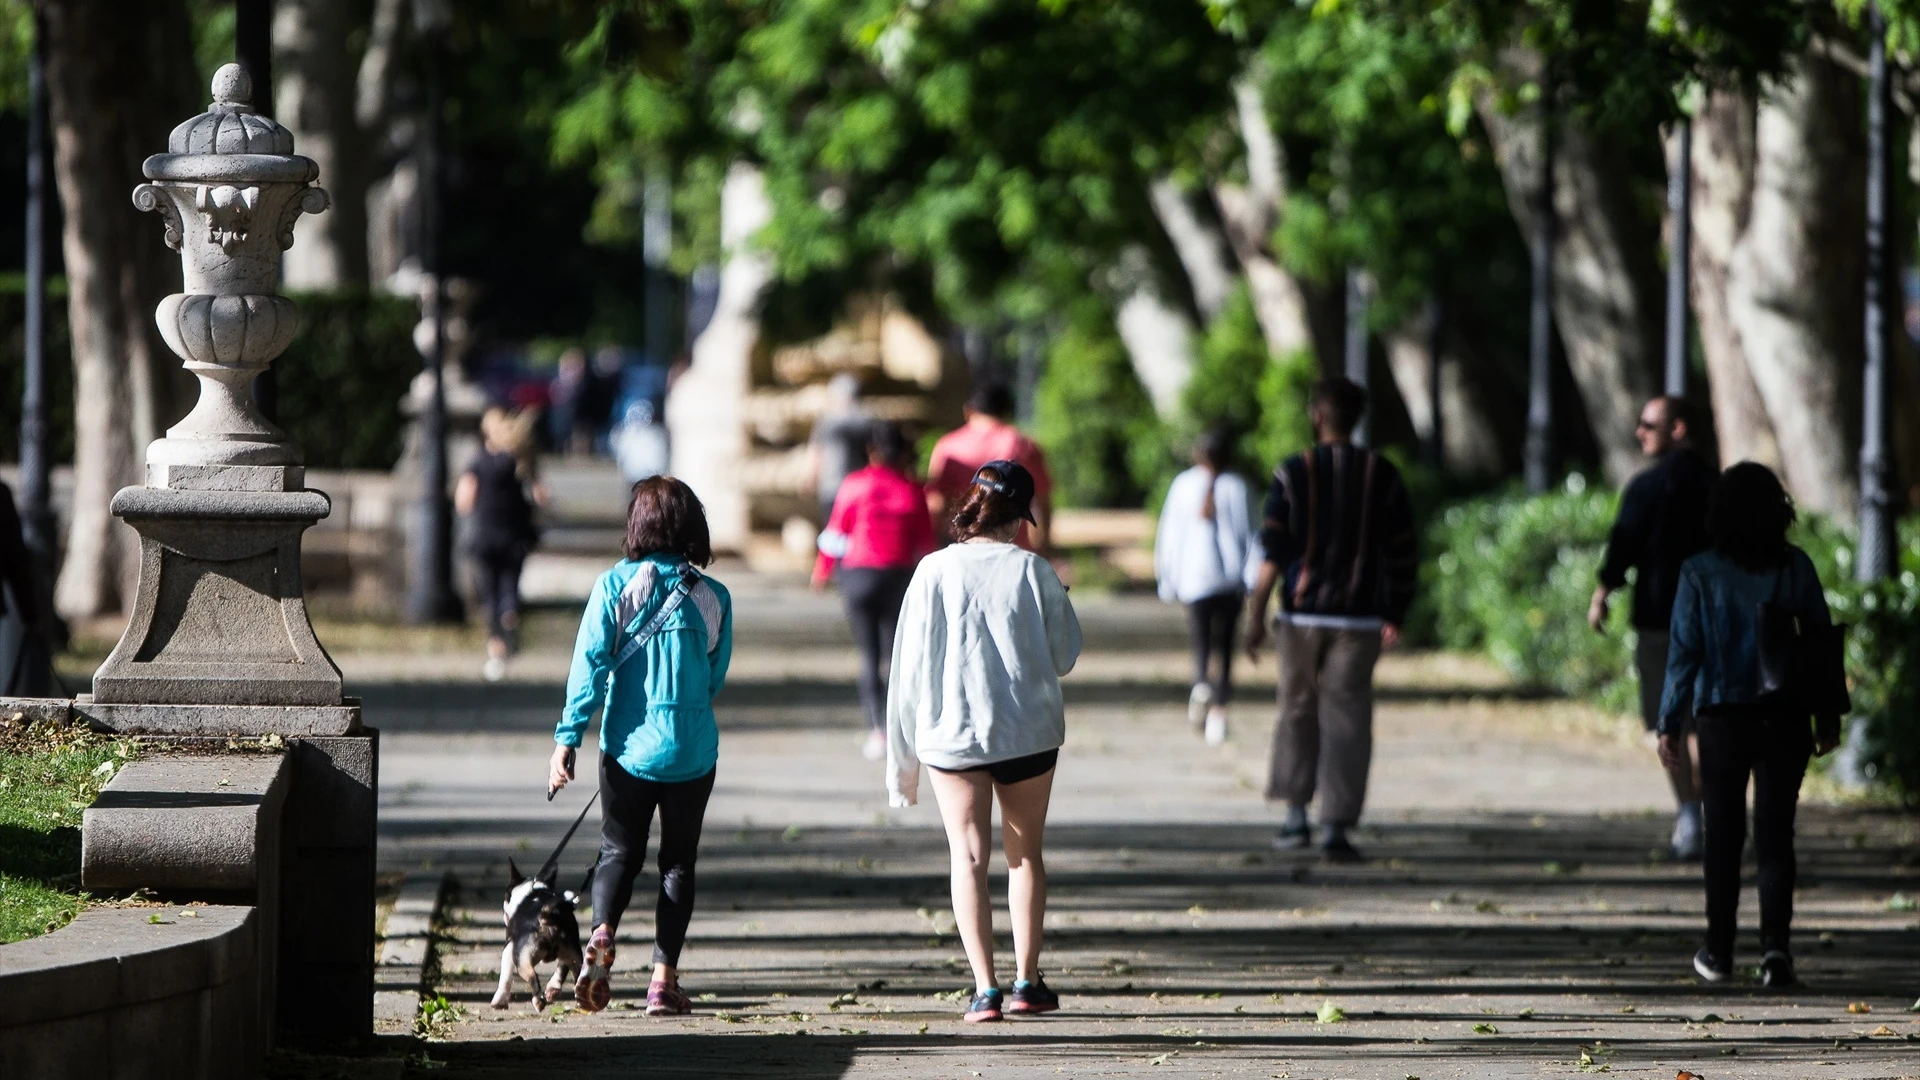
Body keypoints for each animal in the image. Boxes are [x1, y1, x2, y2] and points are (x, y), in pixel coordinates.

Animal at [487, 857, 583, 1006]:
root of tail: (548, 918)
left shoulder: (510, 947)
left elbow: (505, 974)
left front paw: (499, 1000)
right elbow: (562, 968)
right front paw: (553, 988)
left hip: (522, 959)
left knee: (533, 976)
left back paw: (538, 1001)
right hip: (573, 952)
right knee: (575, 973)